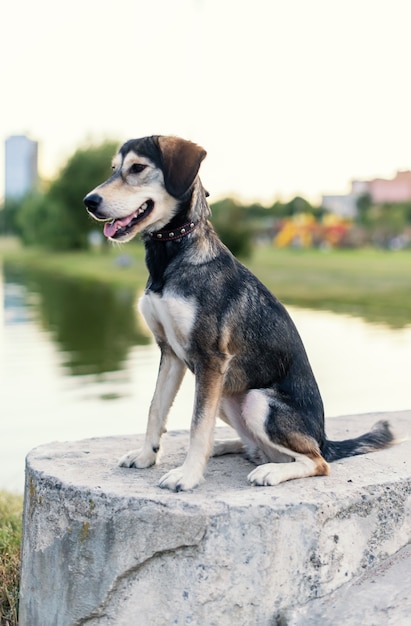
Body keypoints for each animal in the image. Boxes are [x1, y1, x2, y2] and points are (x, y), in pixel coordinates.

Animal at [83, 134, 396, 490]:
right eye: (113, 168)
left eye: (137, 168)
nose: (89, 201)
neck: (171, 256)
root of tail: (324, 438)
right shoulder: (171, 354)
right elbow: (156, 409)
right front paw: (146, 456)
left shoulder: (209, 359)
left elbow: (197, 425)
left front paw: (188, 476)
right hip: (228, 392)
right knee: (258, 448)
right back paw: (224, 447)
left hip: (256, 400)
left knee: (316, 461)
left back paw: (270, 471)